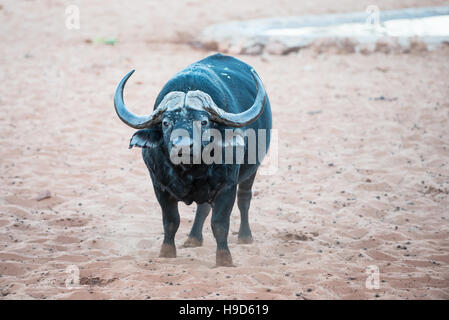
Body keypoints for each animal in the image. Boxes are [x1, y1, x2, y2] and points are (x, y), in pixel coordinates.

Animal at [114, 53, 272, 266]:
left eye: (203, 121)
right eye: (166, 123)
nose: (182, 146)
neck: (190, 171)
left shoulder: (227, 187)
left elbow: (220, 223)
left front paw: (224, 259)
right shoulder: (159, 186)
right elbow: (171, 221)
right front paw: (166, 253)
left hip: (252, 169)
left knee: (244, 199)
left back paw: (245, 236)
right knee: (203, 208)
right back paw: (193, 238)